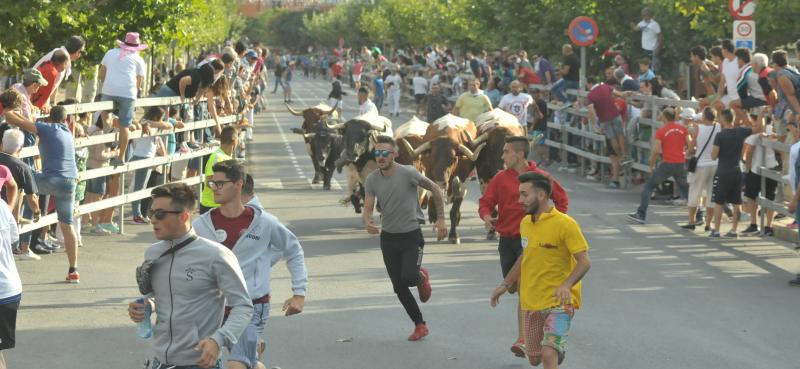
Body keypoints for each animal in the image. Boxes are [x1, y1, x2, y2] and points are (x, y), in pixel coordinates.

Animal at [398, 113, 484, 243]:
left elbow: (454, 212)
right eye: (432, 156)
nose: (440, 182)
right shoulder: (429, 177)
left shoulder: (463, 182)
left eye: (453, 158)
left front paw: (453, 235)